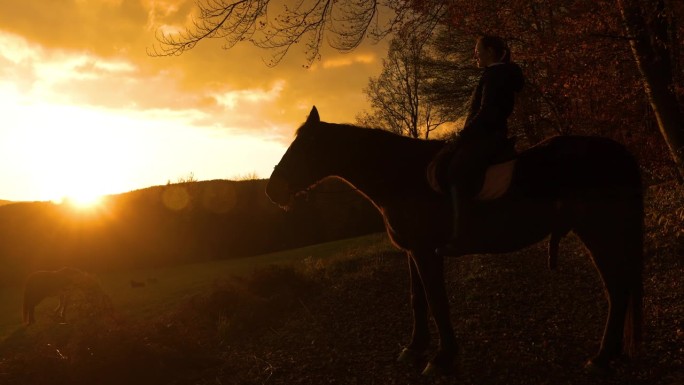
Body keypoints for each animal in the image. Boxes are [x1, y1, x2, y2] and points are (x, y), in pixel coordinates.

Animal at [264, 106, 644, 376]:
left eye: (305, 147)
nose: (271, 190)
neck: (403, 175)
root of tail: (618, 152)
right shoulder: (412, 252)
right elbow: (417, 300)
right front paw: (415, 348)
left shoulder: (426, 252)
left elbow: (437, 302)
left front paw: (442, 357)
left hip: (600, 233)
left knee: (616, 290)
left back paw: (601, 357)